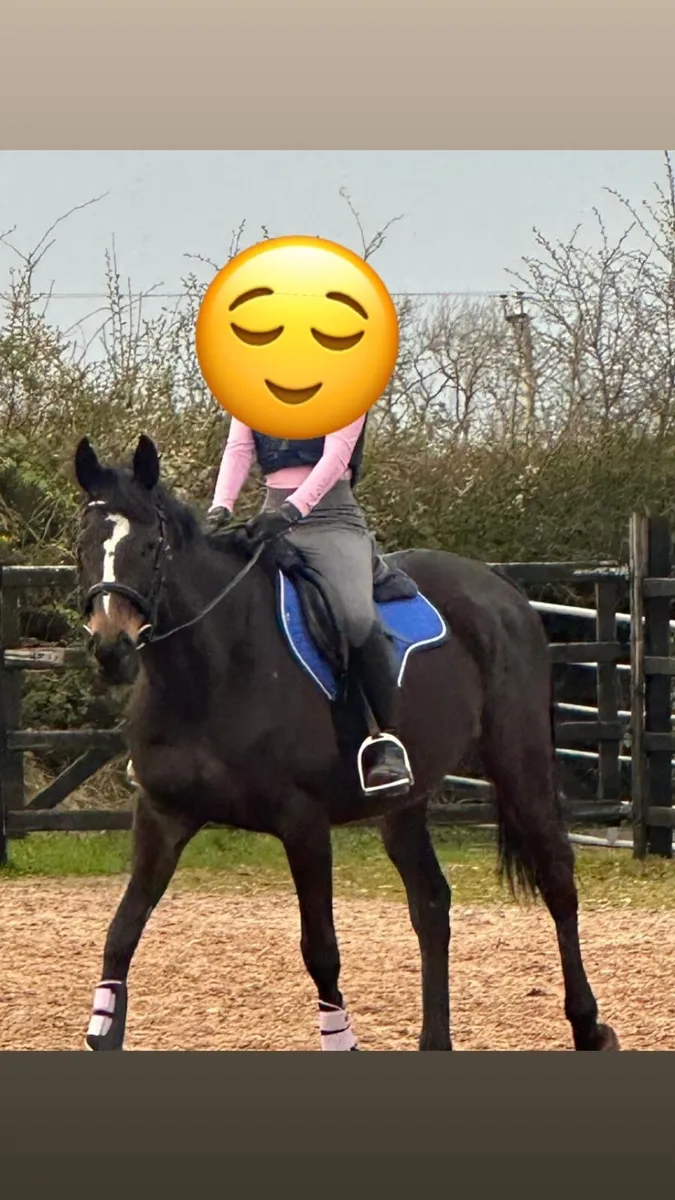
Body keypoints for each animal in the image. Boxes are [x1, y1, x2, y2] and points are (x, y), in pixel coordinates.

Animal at [73, 433, 619, 1052]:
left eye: (149, 546)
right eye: (85, 544)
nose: (111, 649)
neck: (212, 670)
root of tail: (503, 592)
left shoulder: (303, 824)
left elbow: (321, 951)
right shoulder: (162, 815)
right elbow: (121, 932)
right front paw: (103, 1027)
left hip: (518, 761)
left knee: (557, 878)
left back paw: (588, 1025)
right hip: (405, 800)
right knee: (431, 902)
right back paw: (436, 1040)